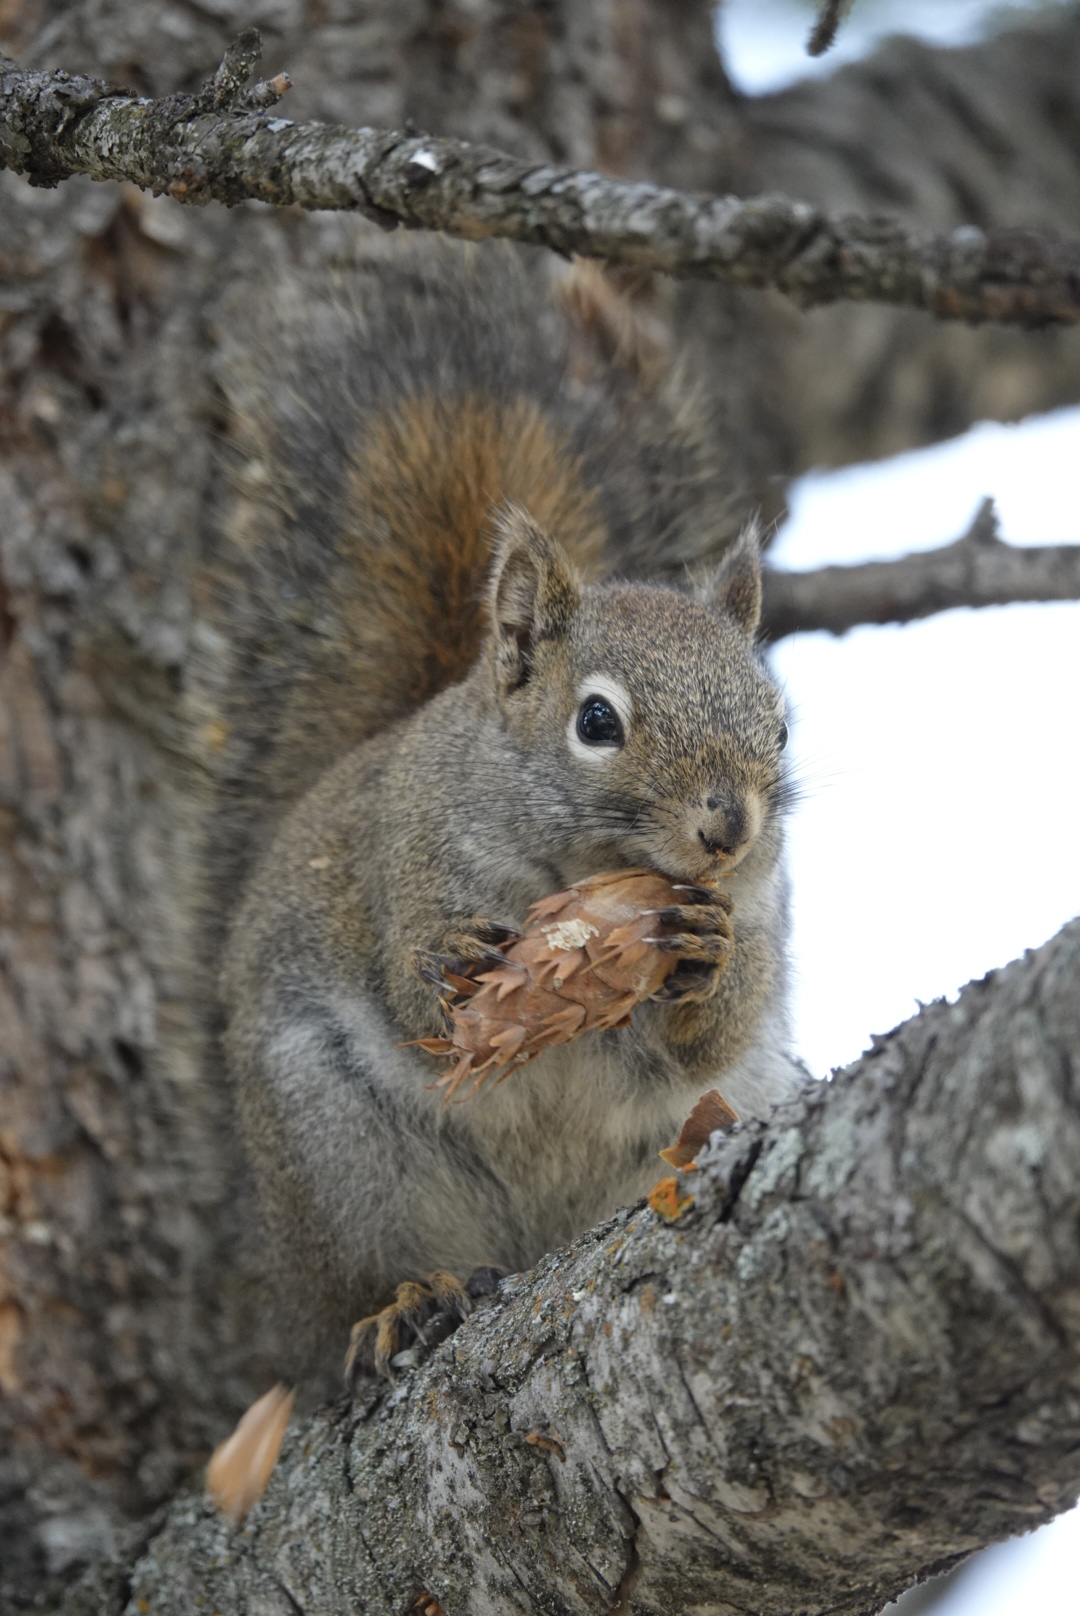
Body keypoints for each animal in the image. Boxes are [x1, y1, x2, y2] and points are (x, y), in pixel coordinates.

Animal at [201, 236, 803, 1385]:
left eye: (781, 725)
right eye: (598, 721)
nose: (727, 830)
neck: (578, 871)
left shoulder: (764, 911)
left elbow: (710, 1034)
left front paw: (706, 954)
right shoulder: (404, 854)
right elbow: (415, 992)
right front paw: (448, 965)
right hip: (335, 1150)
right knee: (369, 1274)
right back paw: (402, 1303)